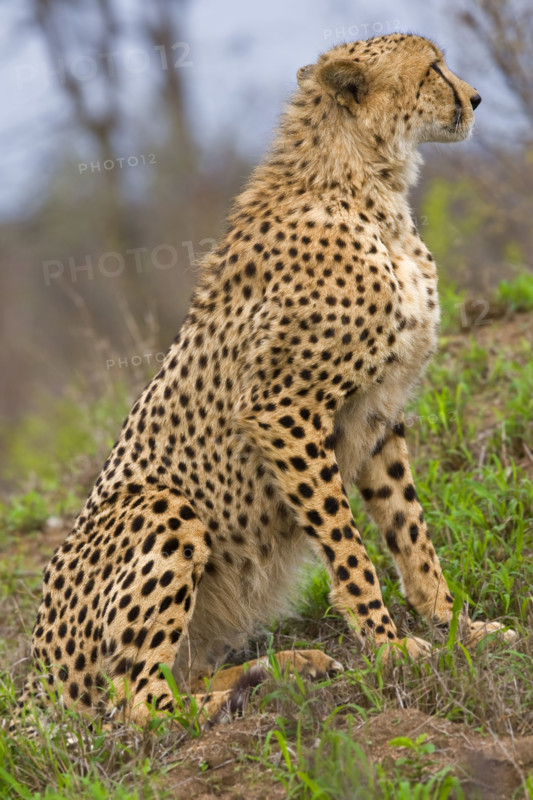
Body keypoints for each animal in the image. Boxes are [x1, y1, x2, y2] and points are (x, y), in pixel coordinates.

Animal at [20, 33, 514, 727]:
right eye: (434, 70)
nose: (476, 98)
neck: (365, 182)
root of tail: (36, 673)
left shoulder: (377, 411)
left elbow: (410, 532)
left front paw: (457, 629)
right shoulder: (283, 409)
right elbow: (348, 547)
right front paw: (393, 650)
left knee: (174, 677)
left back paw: (284, 667)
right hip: (162, 506)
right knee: (137, 706)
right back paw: (245, 693)